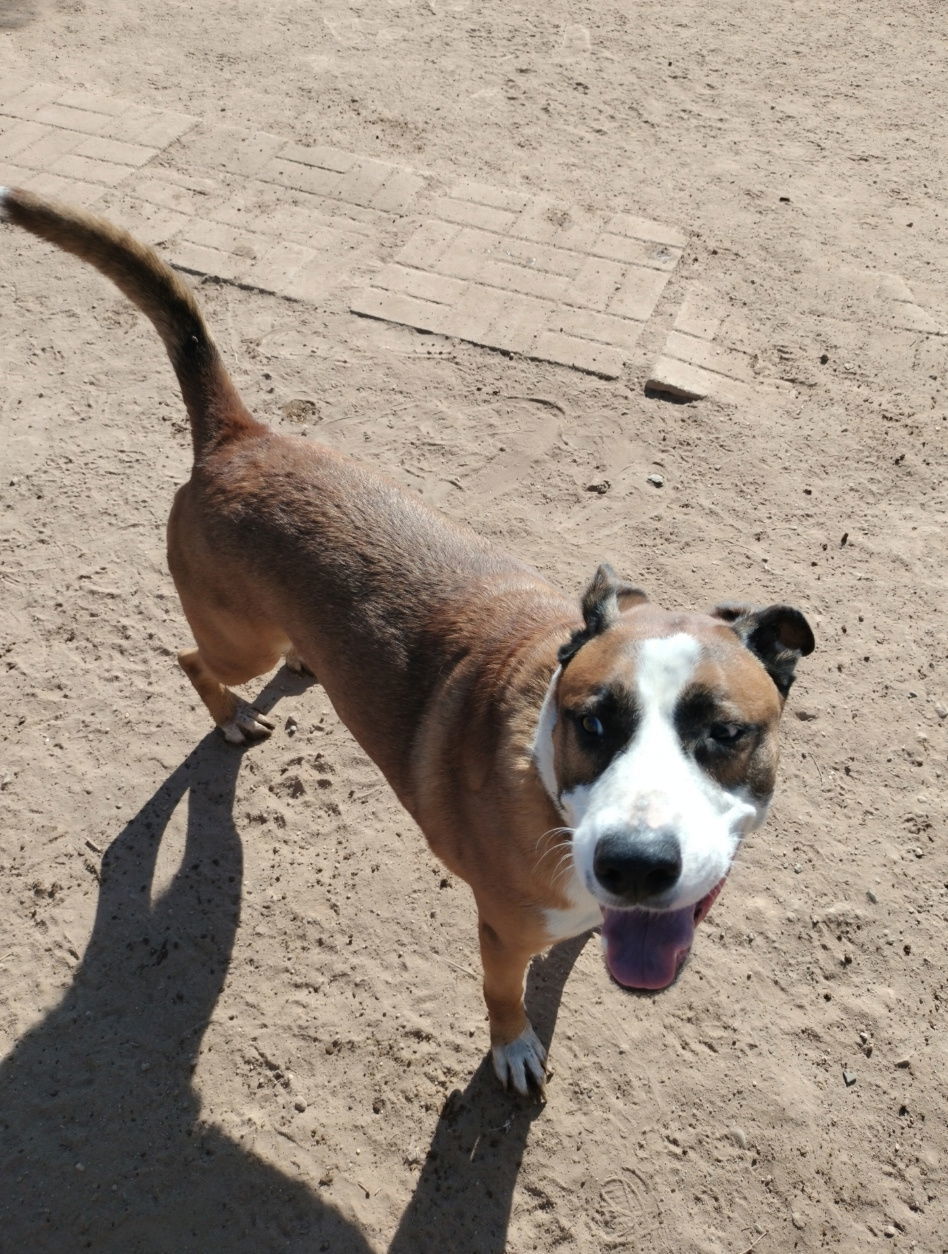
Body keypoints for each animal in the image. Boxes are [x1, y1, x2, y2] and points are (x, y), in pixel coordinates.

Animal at [1, 181, 812, 1093]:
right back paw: (232, 716)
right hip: (235, 642)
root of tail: (242, 438)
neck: (542, 774)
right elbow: (504, 999)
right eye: (592, 722)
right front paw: (513, 1047)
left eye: (725, 734)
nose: (635, 867)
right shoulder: (501, 932)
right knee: (191, 658)